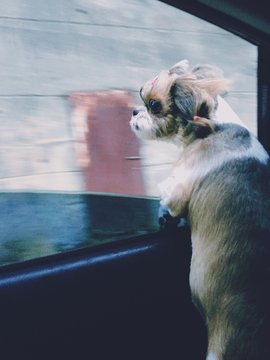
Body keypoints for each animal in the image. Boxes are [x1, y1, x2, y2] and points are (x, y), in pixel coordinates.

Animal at [129, 60, 270, 358]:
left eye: (153, 104)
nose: (135, 110)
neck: (212, 126)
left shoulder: (177, 185)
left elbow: (169, 202)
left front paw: (165, 217)